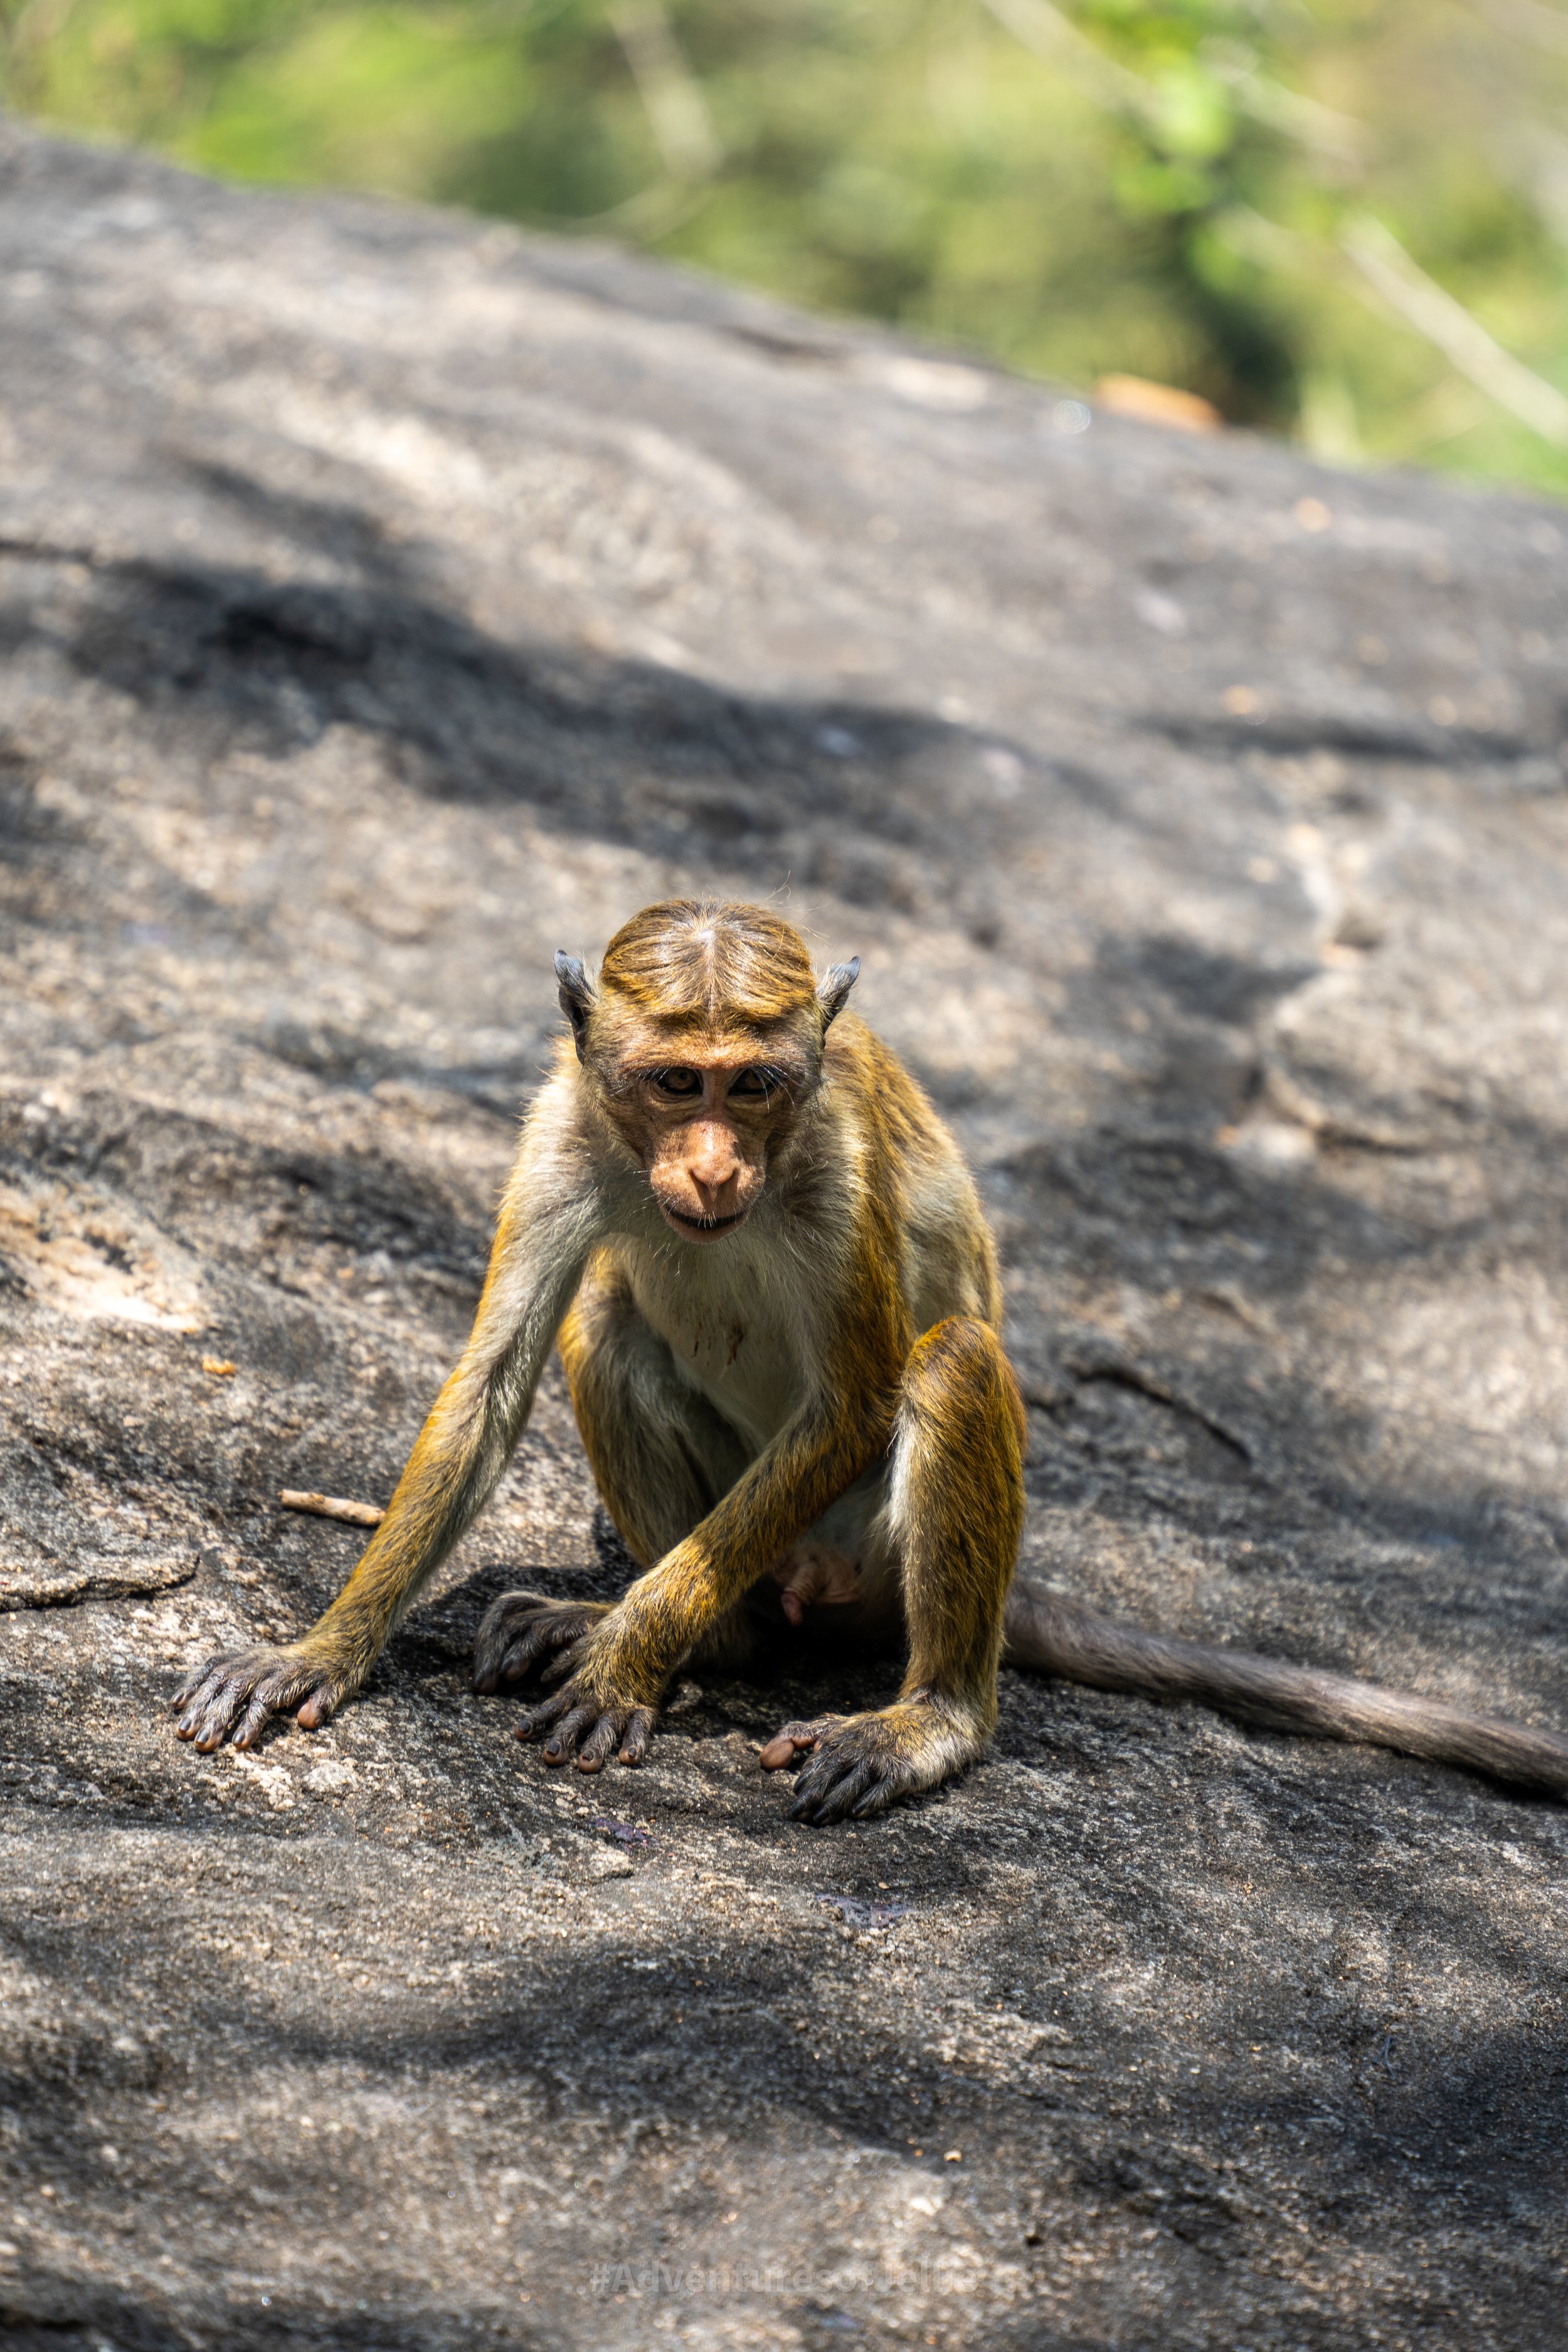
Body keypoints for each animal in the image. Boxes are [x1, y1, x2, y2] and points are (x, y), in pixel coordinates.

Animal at [173, 899, 1568, 1821]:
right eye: (673, 1083)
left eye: (753, 1088)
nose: (712, 1169)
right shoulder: (560, 1129)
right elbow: (491, 1384)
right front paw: (318, 1650)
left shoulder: (837, 1165)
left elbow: (852, 1400)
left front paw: (630, 1655)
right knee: (604, 1319)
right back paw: (699, 1640)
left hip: (865, 1560)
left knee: (947, 1361)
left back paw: (915, 1718)